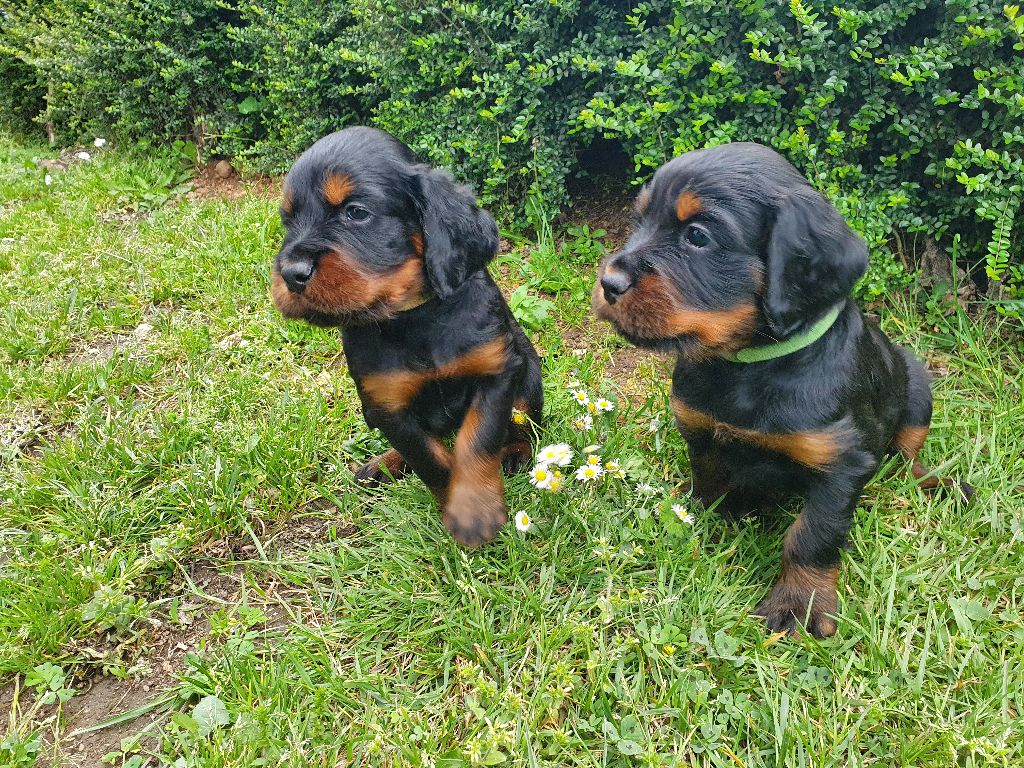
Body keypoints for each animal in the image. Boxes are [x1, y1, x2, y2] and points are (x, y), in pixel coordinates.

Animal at [272, 128, 544, 548]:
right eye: (289, 220)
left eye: (356, 212)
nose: (290, 273)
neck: (413, 319)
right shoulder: (386, 403)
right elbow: (427, 457)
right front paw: (458, 504)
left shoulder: (496, 370)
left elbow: (479, 438)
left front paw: (475, 509)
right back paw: (383, 463)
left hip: (528, 372)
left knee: (521, 420)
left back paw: (516, 451)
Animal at [593, 143, 966, 638]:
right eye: (639, 221)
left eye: (697, 236)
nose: (608, 283)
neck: (750, 366)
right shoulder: (698, 427)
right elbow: (709, 475)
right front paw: (712, 516)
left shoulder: (843, 462)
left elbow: (812, 536)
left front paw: (798, 604)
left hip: (917, 389)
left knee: (908, 454)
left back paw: (938, 483)